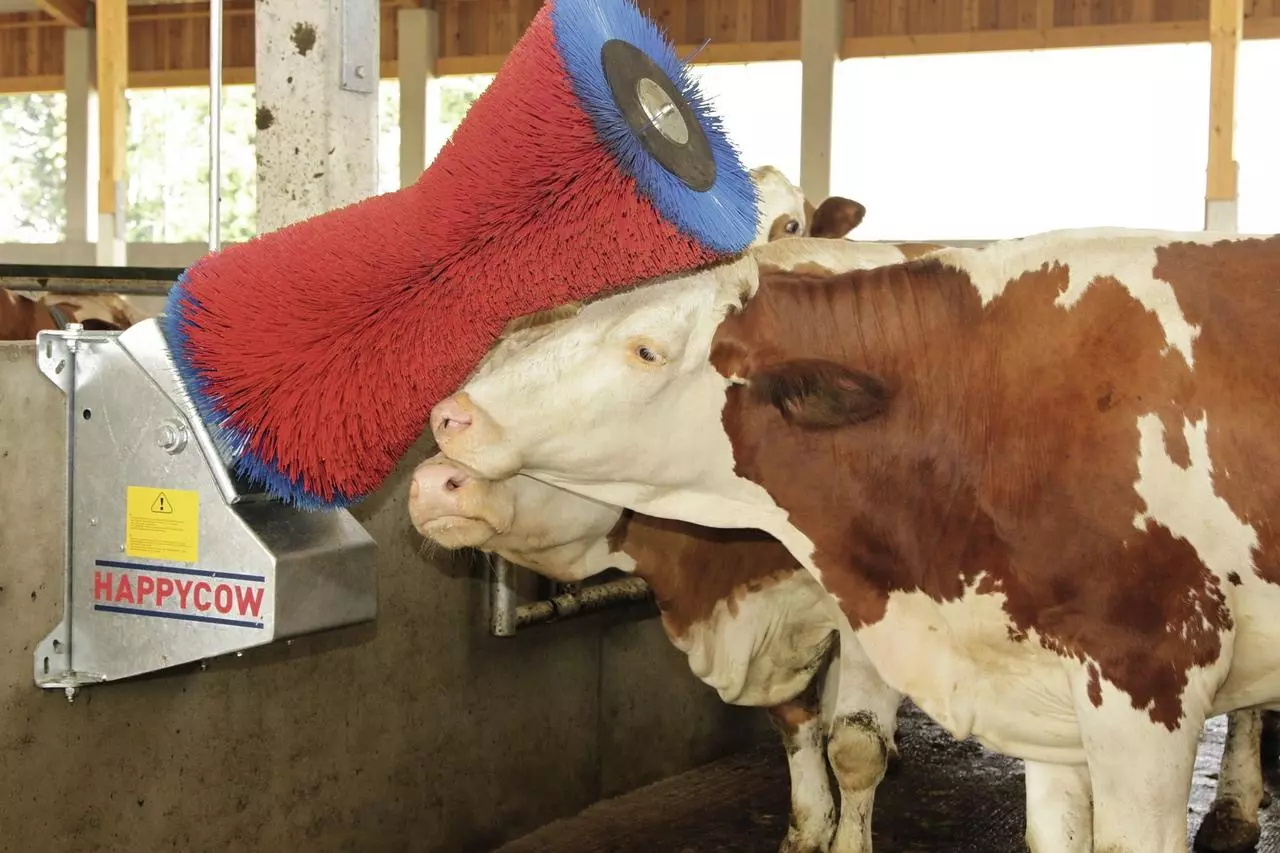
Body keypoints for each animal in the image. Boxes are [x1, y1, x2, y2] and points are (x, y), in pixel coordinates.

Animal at [426, 229, 1280, 852]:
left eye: (645, 350)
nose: (440, 442)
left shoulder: (1147, 670)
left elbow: (855, 745)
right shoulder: (1027, 675)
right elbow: (802, 724)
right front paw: (808, 828)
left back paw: (1237, 806)